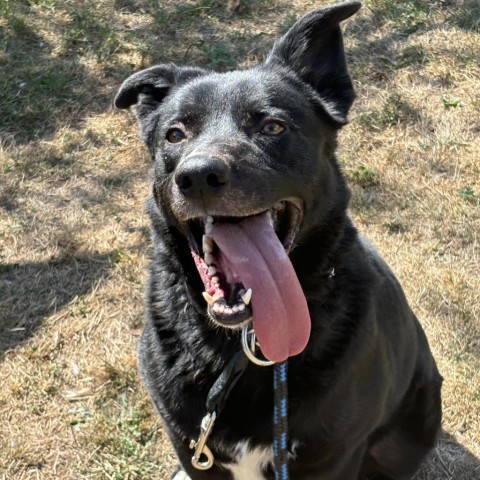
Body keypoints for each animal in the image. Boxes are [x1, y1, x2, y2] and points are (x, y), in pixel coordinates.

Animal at [114, 1, 440, 478]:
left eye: (271, 127)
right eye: (175, 134)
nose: (198, 176)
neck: (246, 341)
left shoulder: (333, 457)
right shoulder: (192, 446)